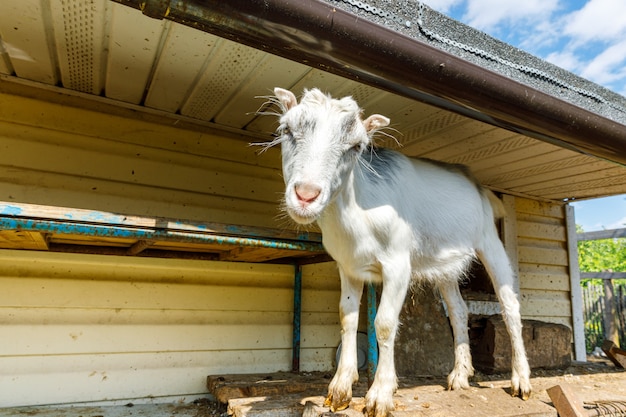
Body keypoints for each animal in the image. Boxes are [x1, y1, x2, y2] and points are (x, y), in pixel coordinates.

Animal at [270, 88, 528, 416]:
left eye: (356, 146)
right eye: (286, 130)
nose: (305, 195)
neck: (359, 215)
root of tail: (477, 184)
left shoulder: (397, 264)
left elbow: (384, 323)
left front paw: (380, 395)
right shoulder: (348, 267)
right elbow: (347, 318)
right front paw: (339, 390)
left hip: (489, 240)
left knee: (509, 306)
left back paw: (521, 381)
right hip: (446, 265)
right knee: (459, 310)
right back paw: (459, 376)